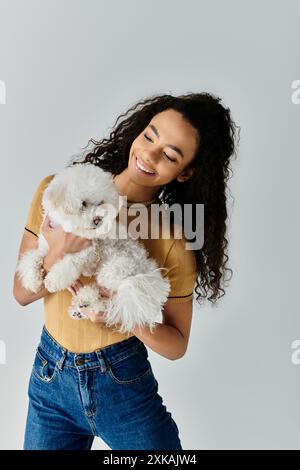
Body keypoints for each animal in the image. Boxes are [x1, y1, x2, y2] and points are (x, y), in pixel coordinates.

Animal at [17, 163, 171, 332]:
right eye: (83, 203)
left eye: (101, 202)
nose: (98, 219)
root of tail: (147, 274)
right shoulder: (46, 248)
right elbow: (32, 258)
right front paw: (32, 280)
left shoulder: (85, 251)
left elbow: (68, 264)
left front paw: (52, 281)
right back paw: (81, 307)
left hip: (114, 270)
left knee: (111, 298)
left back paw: (86, 301)